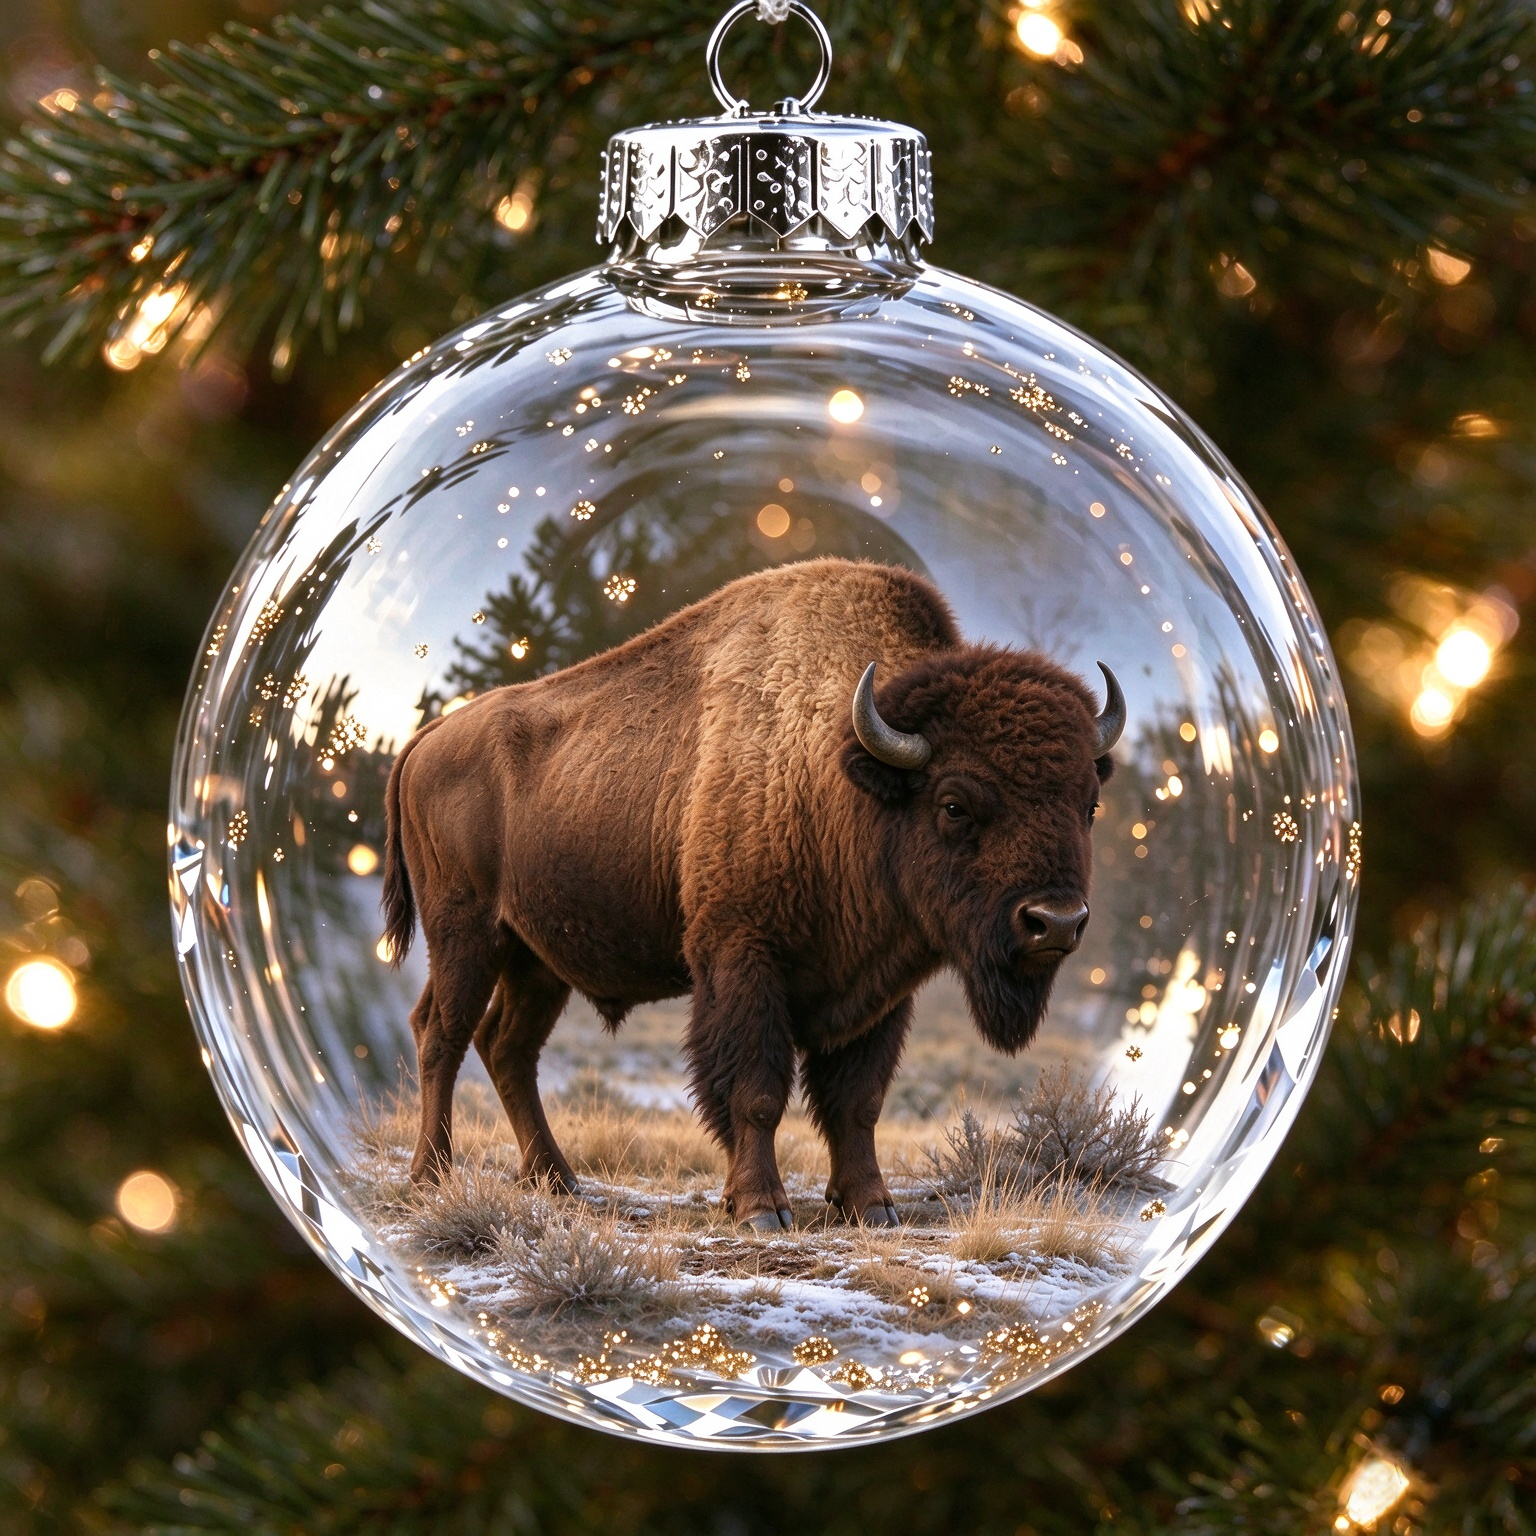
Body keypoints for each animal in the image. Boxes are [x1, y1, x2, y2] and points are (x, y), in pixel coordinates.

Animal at [382, 557, 1123, 1230]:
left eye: (1089, 803)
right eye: (954, 805)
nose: (1055, 922)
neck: (842, 773)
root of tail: (427, 738)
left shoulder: (880, 991)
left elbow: (858, 1100)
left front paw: (871, 1206)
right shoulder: (742, 959)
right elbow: (757, 1092)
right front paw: (761, 1209)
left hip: (537, 959)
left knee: (506, 1048)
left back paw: (557, 1180)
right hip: (467, 935)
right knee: (441, 1034)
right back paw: (432, 1176)